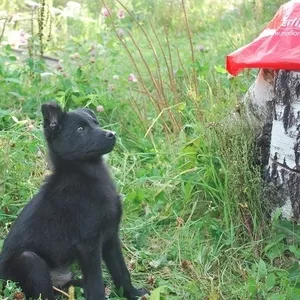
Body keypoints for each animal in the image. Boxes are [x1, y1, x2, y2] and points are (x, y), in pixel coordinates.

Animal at [0, 102, 149, 298]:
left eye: (95, 123)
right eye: (80, 129)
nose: (112, 134)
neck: (88, 177)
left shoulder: (111, 237)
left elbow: (121, 272)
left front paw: (134, 294)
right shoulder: (88, 245)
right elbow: (96, 284)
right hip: (29, 261)